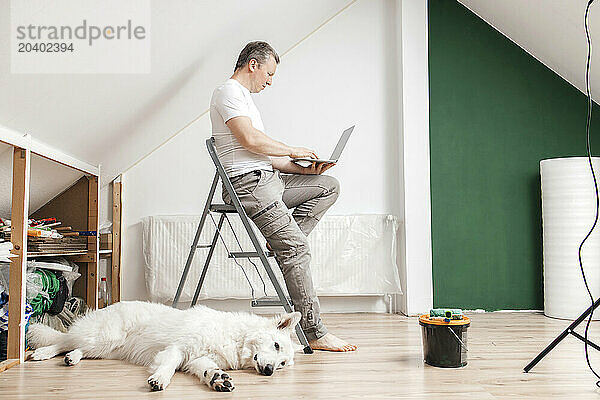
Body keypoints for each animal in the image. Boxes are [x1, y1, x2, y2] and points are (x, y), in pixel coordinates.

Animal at [25, 302, 302, 392]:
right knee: (64, 339)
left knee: (78, 348)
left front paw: (218, 380)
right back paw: (42, 352)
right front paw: (158, 380)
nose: (270, 371)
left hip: (105, 348)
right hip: (103, 337)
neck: (237, 338)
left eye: (282, 364)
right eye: (276, 345)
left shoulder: (197, 360)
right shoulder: (178, 349)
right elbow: (168, 366)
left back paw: (71, 358)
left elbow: (208, 371)